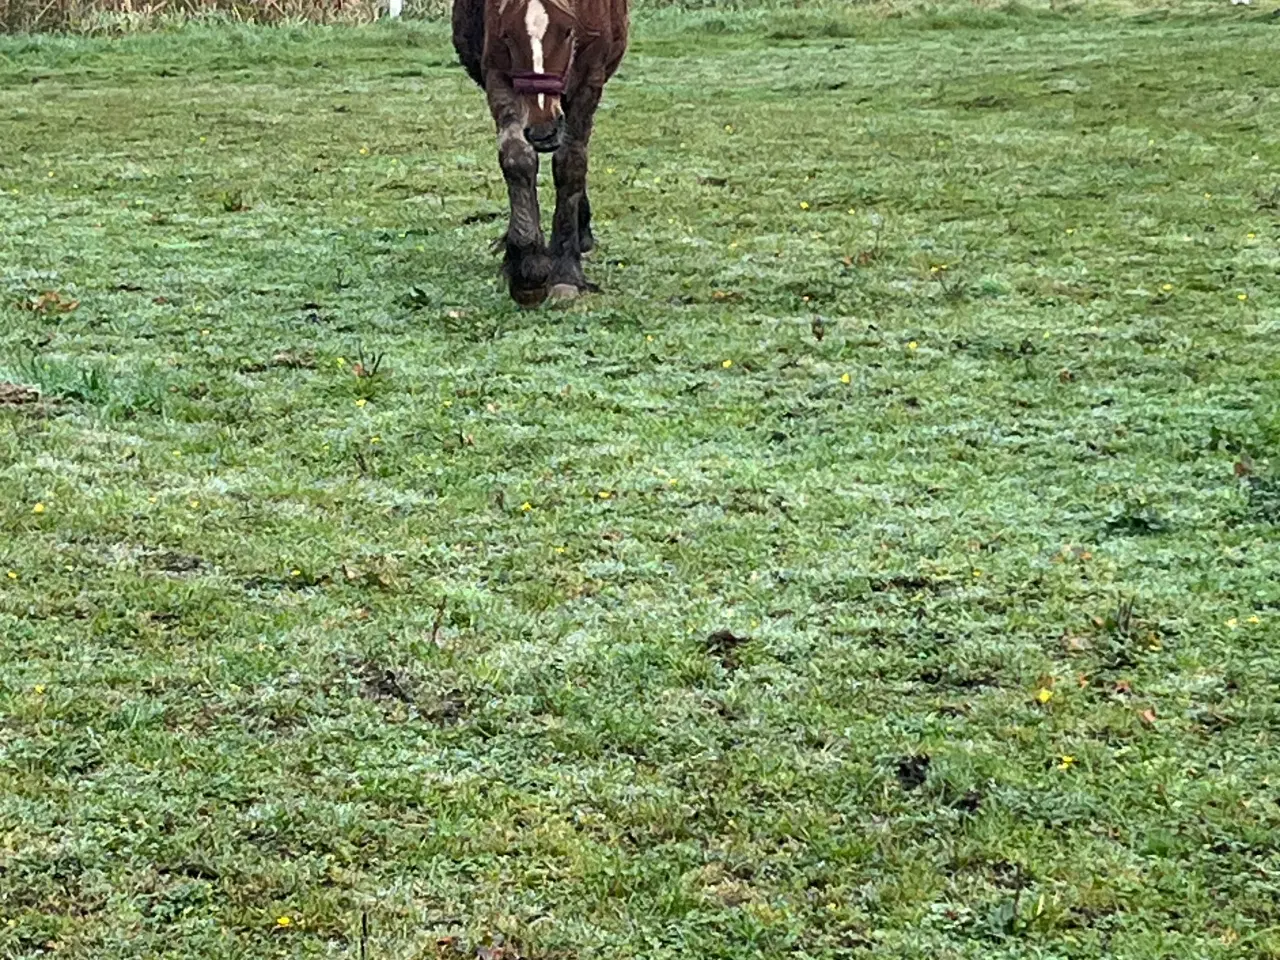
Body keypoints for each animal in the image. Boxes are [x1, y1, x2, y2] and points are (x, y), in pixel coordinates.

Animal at [453, 0, 627, 304]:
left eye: (568, 30)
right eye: (507, 34)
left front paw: (566, 272)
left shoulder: (588, 81)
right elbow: (518, 159)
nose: (543, 130)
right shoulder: (498, 76)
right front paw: (528, 266)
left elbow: (571, 164)